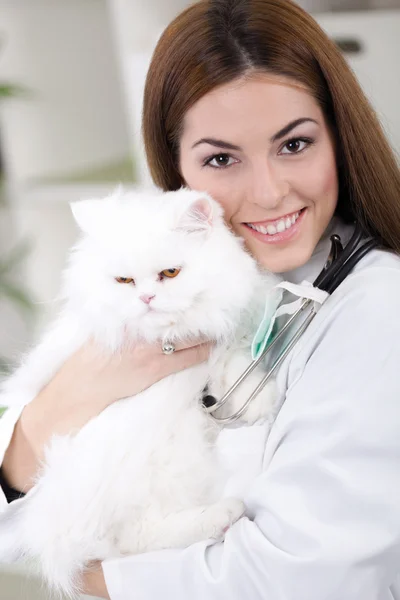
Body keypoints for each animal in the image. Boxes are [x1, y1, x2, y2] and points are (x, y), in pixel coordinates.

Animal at [0, 186, 278, 596]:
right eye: (124, 281)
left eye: (170, 273)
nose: (146, 299)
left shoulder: (222, 342)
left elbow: (233, 367)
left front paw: (259, 400)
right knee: (133, 538)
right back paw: (223, 514)